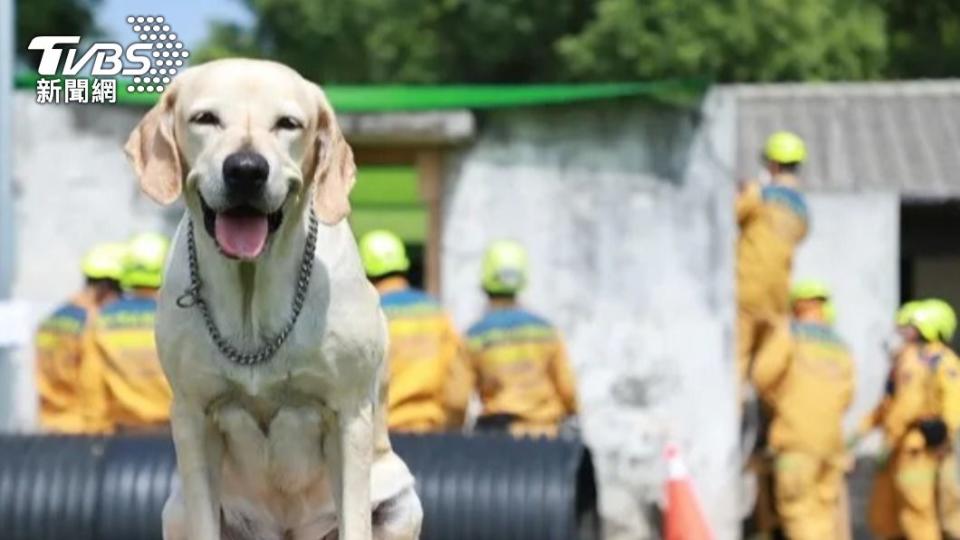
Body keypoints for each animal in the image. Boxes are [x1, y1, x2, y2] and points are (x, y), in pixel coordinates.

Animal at [126, 57, 424, 536]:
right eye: (205, 118)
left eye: (288, 124)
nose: (246, 169)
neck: (252, 289)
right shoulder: (192, 415)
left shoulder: (348, 416)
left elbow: (355, 514)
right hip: (175, 507)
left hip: (401, 501)